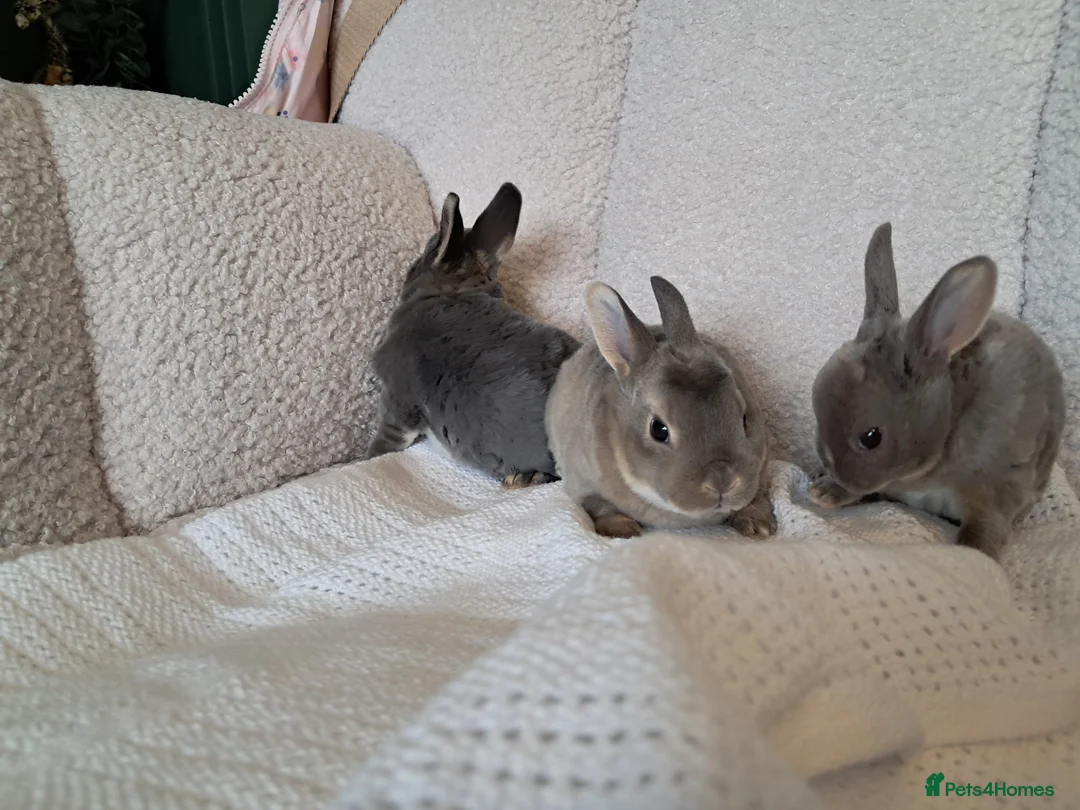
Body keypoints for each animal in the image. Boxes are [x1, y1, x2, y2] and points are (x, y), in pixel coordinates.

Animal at [546, 275, 777, 539]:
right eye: (658, 429)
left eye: (745, 419)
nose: (722, 482)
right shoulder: (584, 484)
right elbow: (601, 507)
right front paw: (621, 530)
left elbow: (756, 498)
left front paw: (758, 526)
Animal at [809, 222, 1065, 559]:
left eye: (871, 438)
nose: (834, 471)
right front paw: (824, 492)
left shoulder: (998, 484)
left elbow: (986, 525)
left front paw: (975, 553)